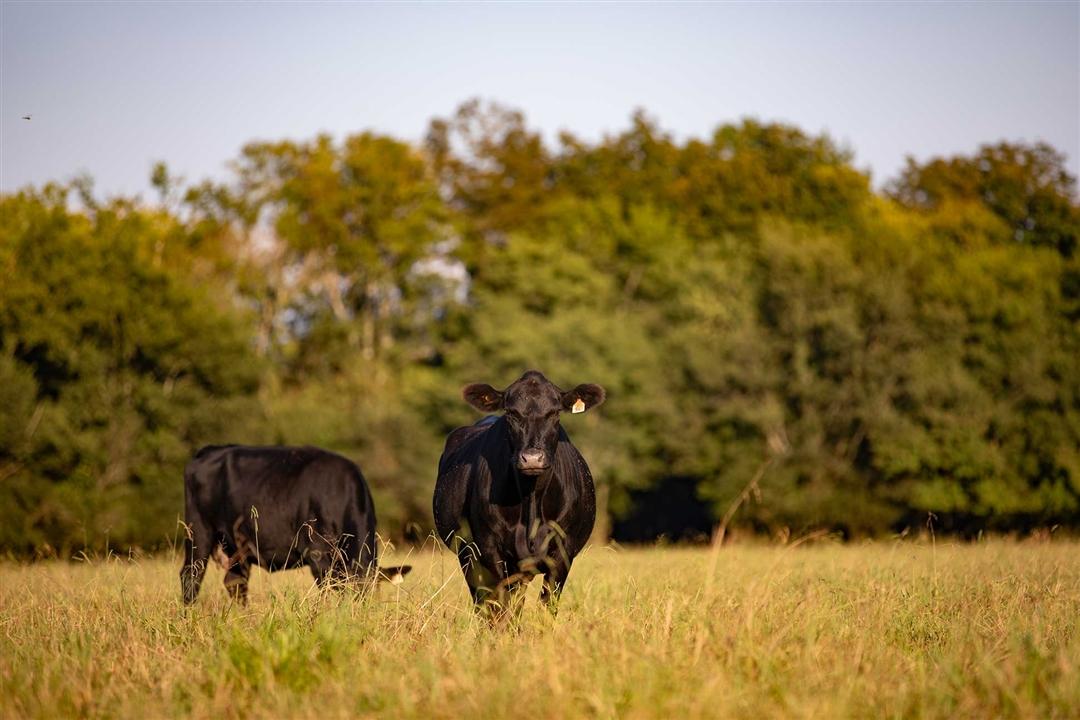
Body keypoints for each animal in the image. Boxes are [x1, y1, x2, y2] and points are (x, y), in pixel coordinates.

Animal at [181, 444, 408, 604]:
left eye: (372, 592)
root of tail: (210, 450)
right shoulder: (317, 554)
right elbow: (326, 592)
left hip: (236, 546)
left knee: (235, 582)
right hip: (199, 531)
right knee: (190, 576)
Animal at [432, 369, 609, 617]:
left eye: (555, 412)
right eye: (511, 413)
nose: (532, 458)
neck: (531, 500)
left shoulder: (563, 553)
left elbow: (547, 606)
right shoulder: (490, 551)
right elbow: (501, 610)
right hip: (467, 555)